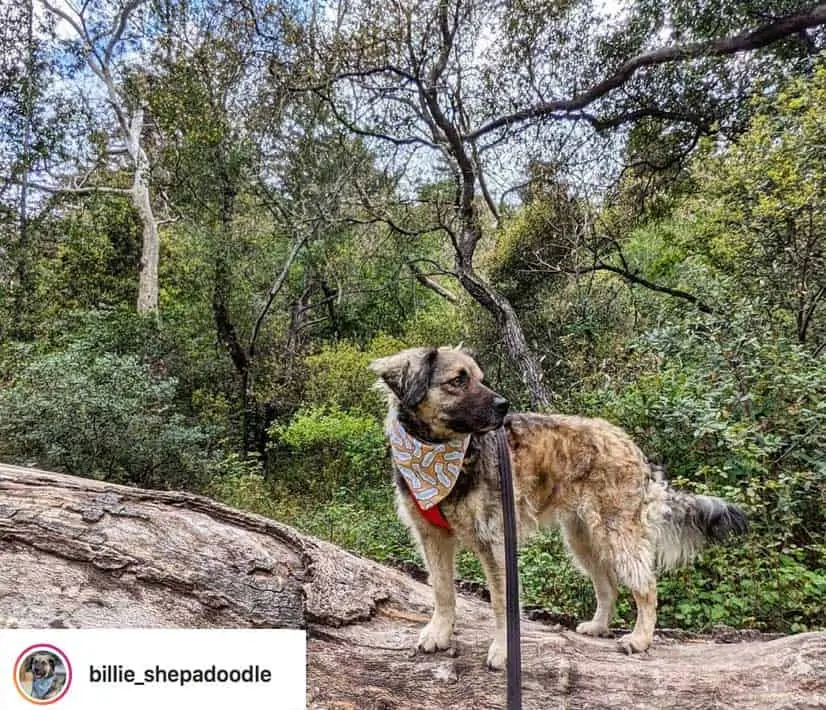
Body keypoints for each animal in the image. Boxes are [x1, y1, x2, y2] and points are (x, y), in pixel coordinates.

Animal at [370, 348, 748, 672]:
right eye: (457, 380)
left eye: (480, 377)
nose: (504, 405)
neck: (439, 456)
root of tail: (633, 447)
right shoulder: (432, 536)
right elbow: (443, 590)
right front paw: (439, 632)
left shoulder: (495, 542)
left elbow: (501, 604)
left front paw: (504, 652)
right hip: (583, 538)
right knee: (608, 585)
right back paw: (598, 626)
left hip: (617, 534)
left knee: (646, 585)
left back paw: (640, 639)